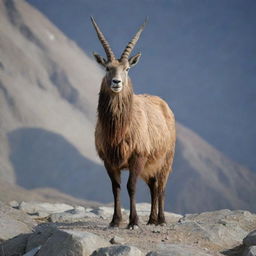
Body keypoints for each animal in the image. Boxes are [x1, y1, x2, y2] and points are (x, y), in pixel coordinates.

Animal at [90, 17, 176, 228]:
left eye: (127, 68)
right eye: (107, 67)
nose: (116, 82)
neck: (120, 128)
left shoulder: (137, 157)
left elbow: (131, 187)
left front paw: (133, 221)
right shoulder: (109, 160)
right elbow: (116, 187)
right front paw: (115, 221)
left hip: (165, 160)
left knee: (161, 187)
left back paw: (161, 220)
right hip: (149, 166)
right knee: (153, 186)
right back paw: (152, 219)